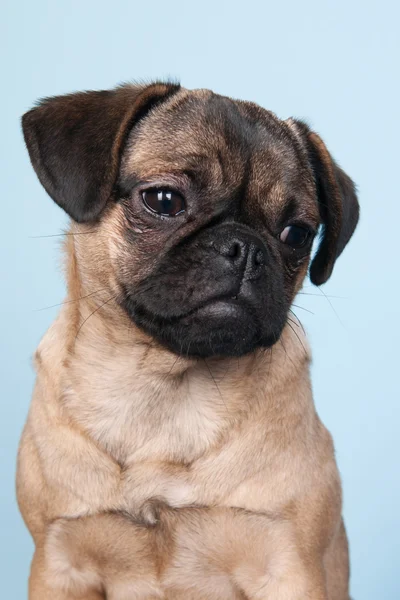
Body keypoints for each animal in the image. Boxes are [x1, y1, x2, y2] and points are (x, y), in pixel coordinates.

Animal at [16, 81, 360, 600]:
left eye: (296, 234)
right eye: (164, 201)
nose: (246, 248)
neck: (164, 387)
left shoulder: (289, 566)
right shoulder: (59, 564)